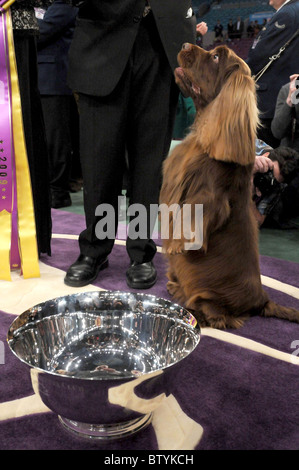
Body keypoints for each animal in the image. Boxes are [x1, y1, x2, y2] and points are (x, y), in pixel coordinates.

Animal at [161, 45, 298, 330]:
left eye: (215, 57)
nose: (185, 45)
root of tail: (262, 301)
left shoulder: (211, 196)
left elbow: (194, 214)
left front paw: (178, 243)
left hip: (209, 296)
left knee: (216, 315)